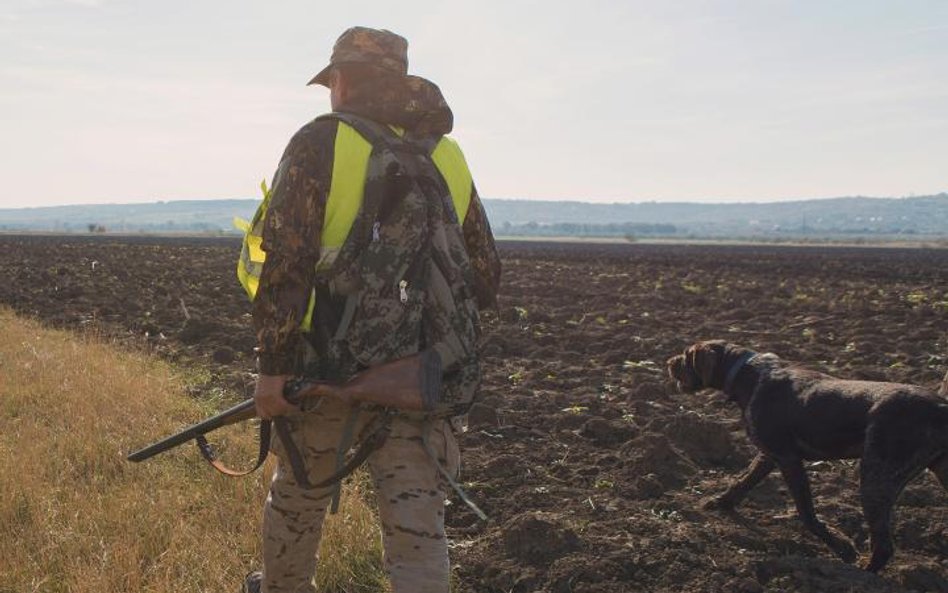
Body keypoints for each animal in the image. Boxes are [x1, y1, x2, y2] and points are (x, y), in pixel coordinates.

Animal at [668, 340, 948, 572]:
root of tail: (940, 407)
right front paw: (720, 503)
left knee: (883, 546)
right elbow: (743, 481)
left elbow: (807, 513)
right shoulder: (769, 455)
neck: (749, 374)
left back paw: (862, 574)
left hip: (876, 478)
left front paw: (843, 548)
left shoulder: (788, 458)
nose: (669, 362)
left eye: (686, 356)